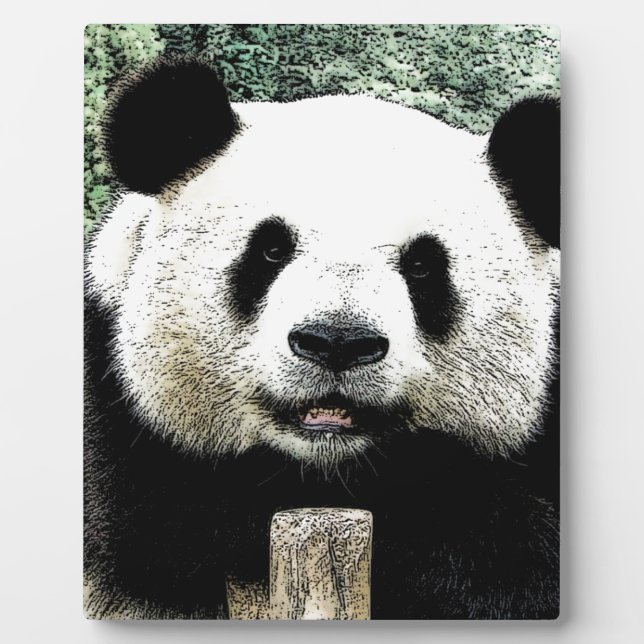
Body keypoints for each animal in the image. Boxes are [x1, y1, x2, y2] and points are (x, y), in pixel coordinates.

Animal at [84, 59, 560, 620]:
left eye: (423, 266)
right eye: (270, 249)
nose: (337, 341)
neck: (329, 466)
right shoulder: (115, 409)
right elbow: (167, 520)